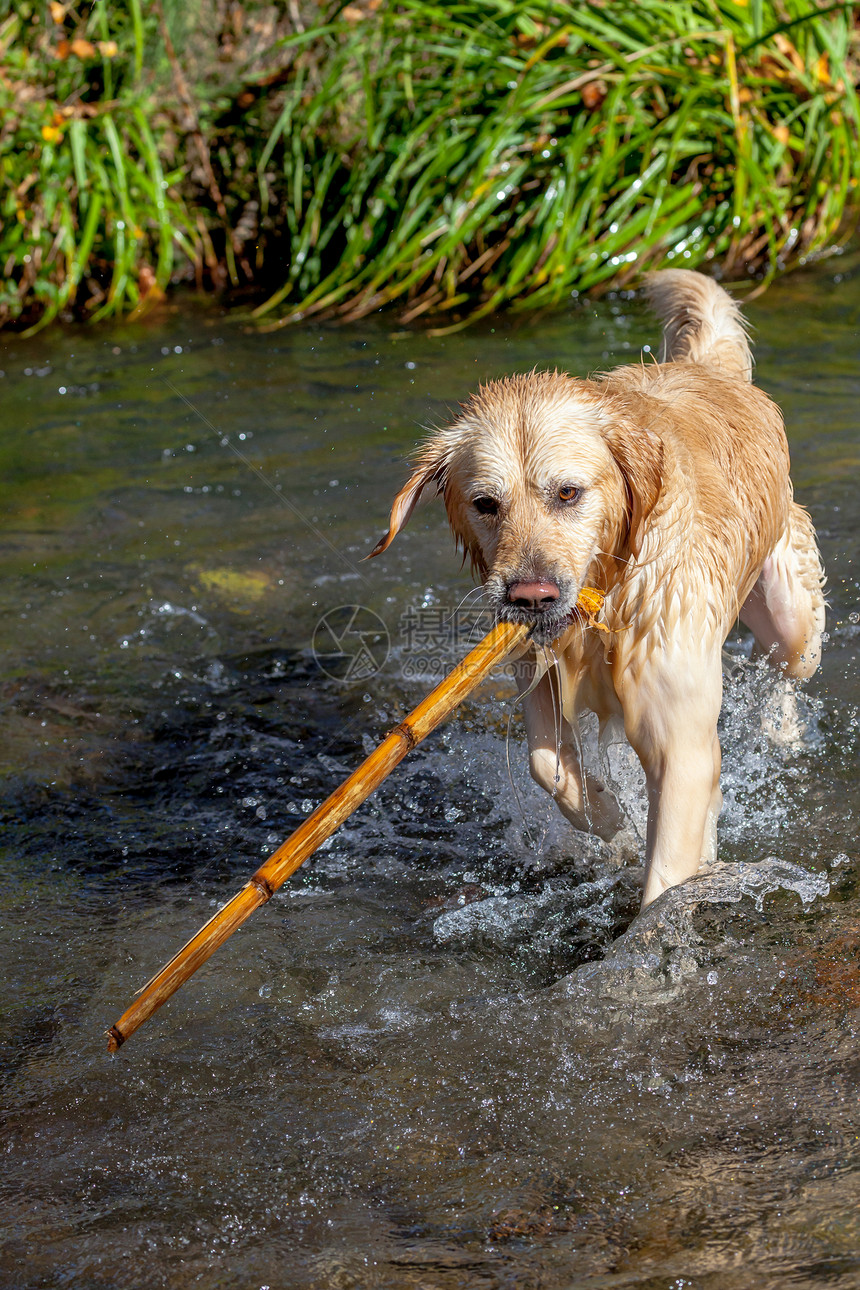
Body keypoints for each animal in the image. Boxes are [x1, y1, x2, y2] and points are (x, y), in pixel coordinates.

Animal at [366, 274, 825, 908]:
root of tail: (707, 369)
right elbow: (548, 767)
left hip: (791, 612)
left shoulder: (677, 733)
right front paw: (612, 823)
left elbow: (666, 879)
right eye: (486, 503)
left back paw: (779, 729)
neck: (608, 598)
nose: (531, 596)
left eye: (568, 493)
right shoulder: (535, 669)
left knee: (785, 664)